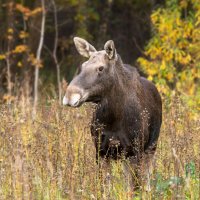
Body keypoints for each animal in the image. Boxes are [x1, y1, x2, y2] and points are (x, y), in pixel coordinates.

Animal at [63, 36, 162, 188]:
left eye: (100, 68)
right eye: (83, 66)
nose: (70, 95)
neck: (114, 119)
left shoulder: (135, 151)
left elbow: (135, 187)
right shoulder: (101, 152)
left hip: (151, 147)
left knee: (147, 180)